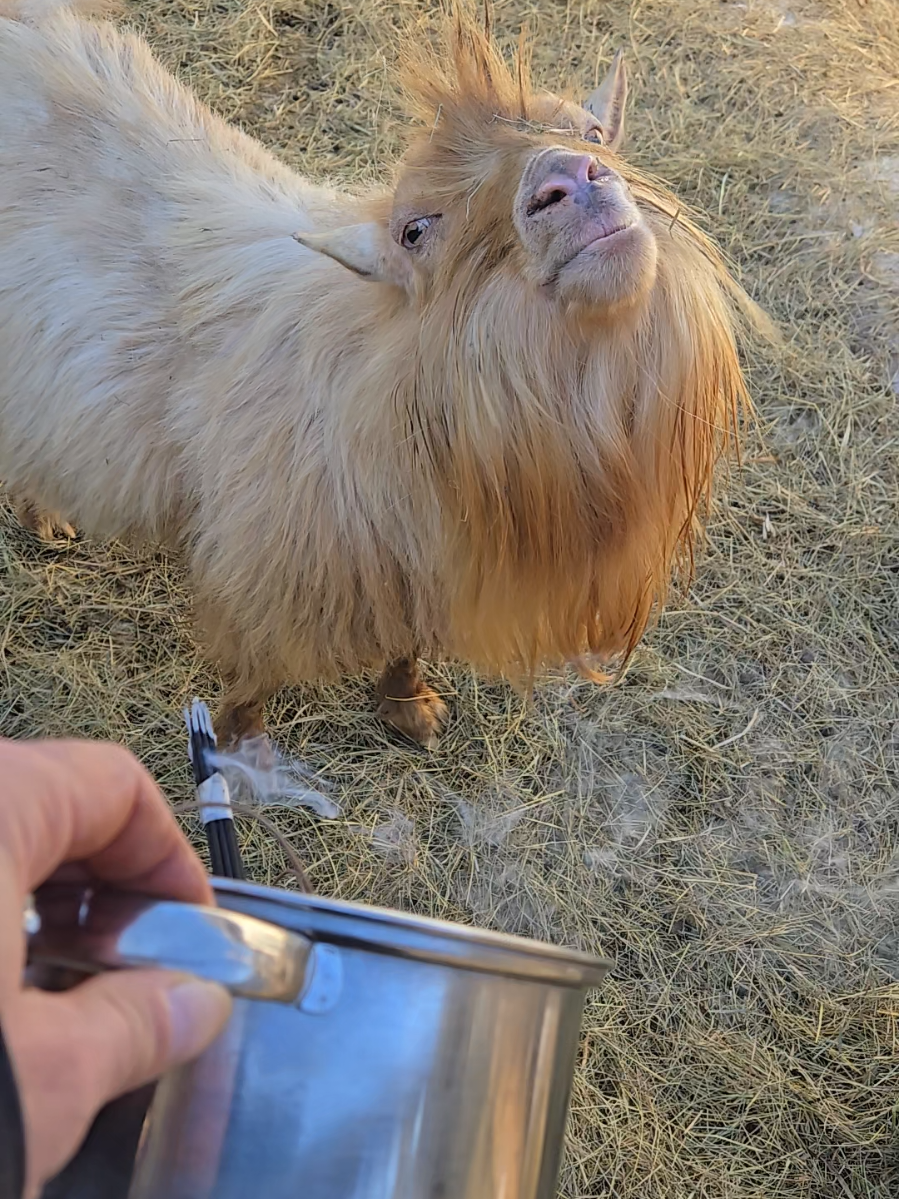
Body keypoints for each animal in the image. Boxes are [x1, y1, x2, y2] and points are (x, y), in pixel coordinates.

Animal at [0, 0, 756, 749]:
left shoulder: (421, 566)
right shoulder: (262, 571)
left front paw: (408, 705)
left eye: (594, 132)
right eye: (415, 232)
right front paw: (243, 750)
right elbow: (253, 679)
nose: (568, 180)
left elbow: (406, 644)